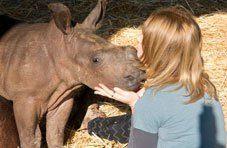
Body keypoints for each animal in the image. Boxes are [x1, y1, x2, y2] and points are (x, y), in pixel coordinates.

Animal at [0, 0, 145, 148]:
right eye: (95, 60)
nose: (139, 76)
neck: (57, 50)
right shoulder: (25, 98)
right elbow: (31, 137)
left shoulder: (62, 96)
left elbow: (56, 131)